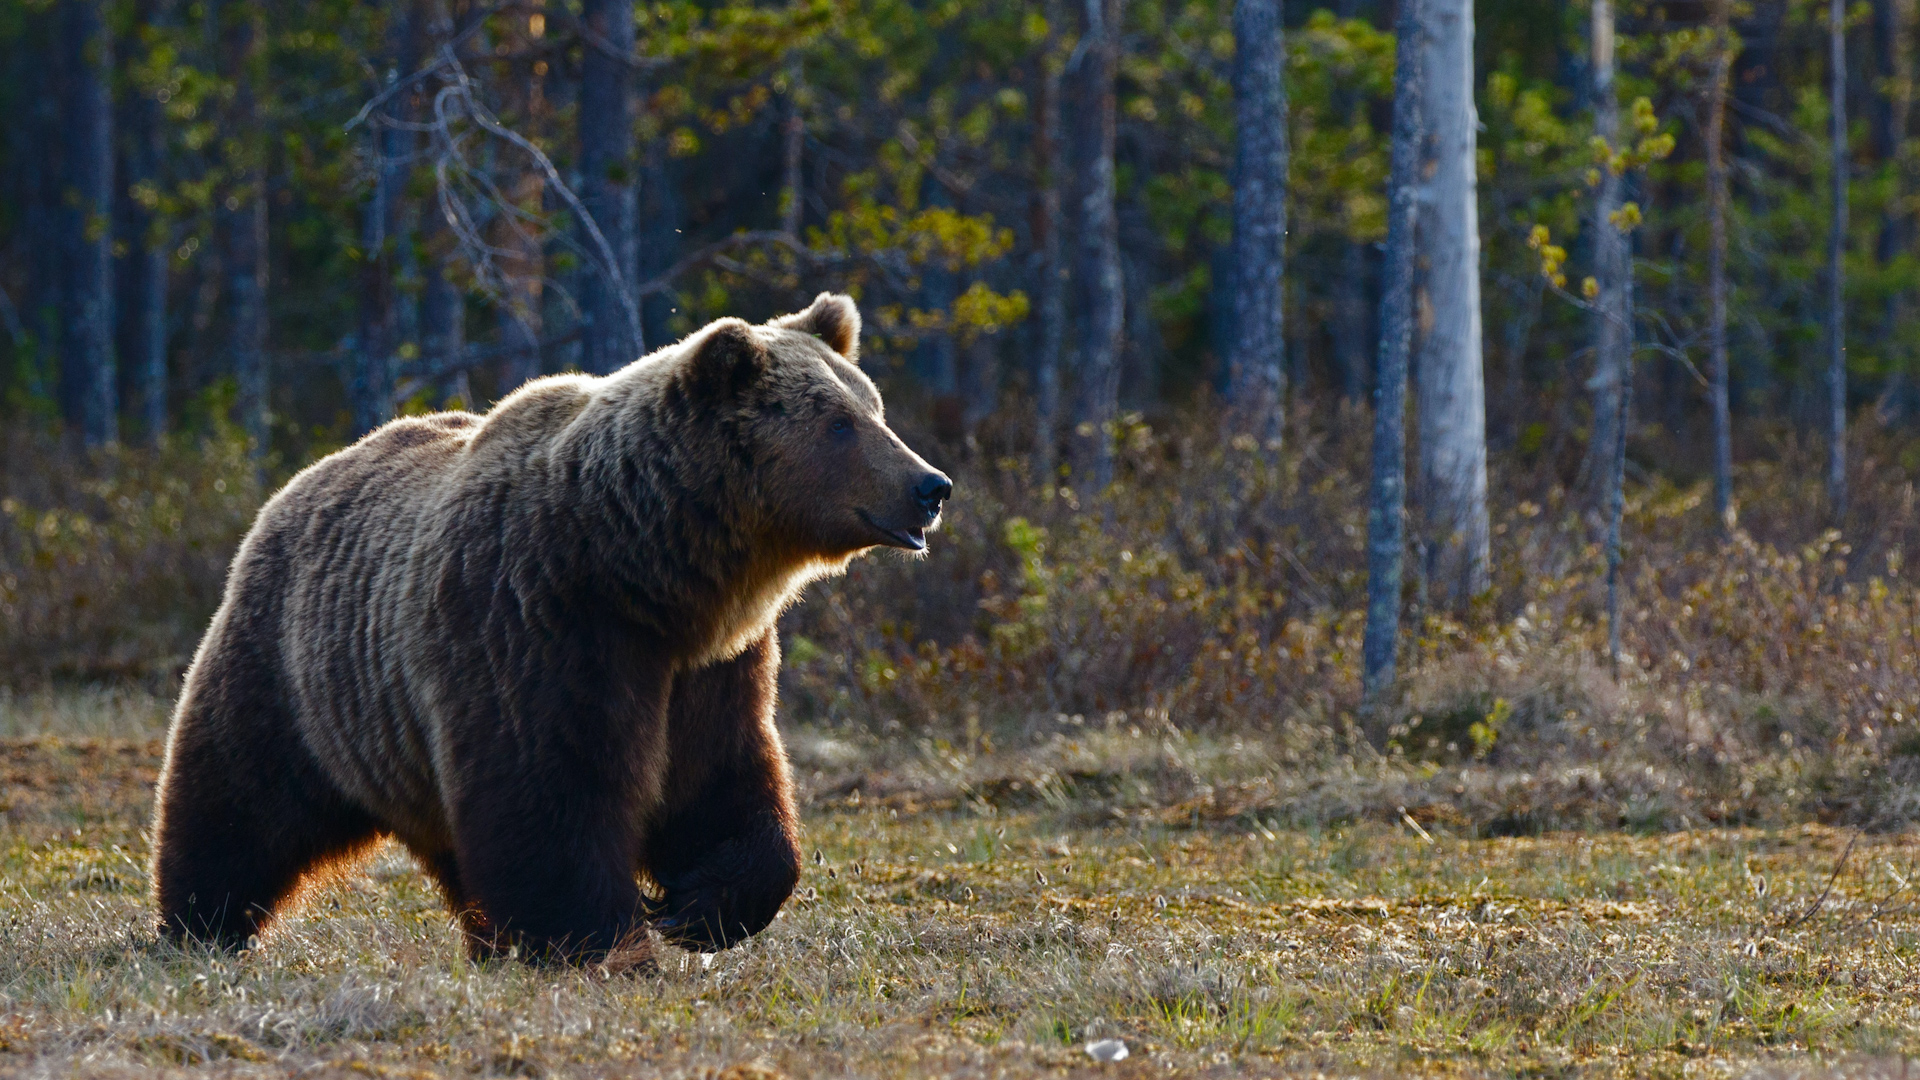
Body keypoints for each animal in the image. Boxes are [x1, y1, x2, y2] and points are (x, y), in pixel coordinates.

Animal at [151, 292, 952, 957]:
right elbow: (550, 794)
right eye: (839, 423)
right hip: (296, 672)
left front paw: (697, 907)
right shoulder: (536, 624)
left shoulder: (712, 665)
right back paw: (197, 925)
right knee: (237, 800)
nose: (931, 485)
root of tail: (301, 480)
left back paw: (487, 940)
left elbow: (723, 780)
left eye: (875, 408)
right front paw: (604, 938)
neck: (644, 570)